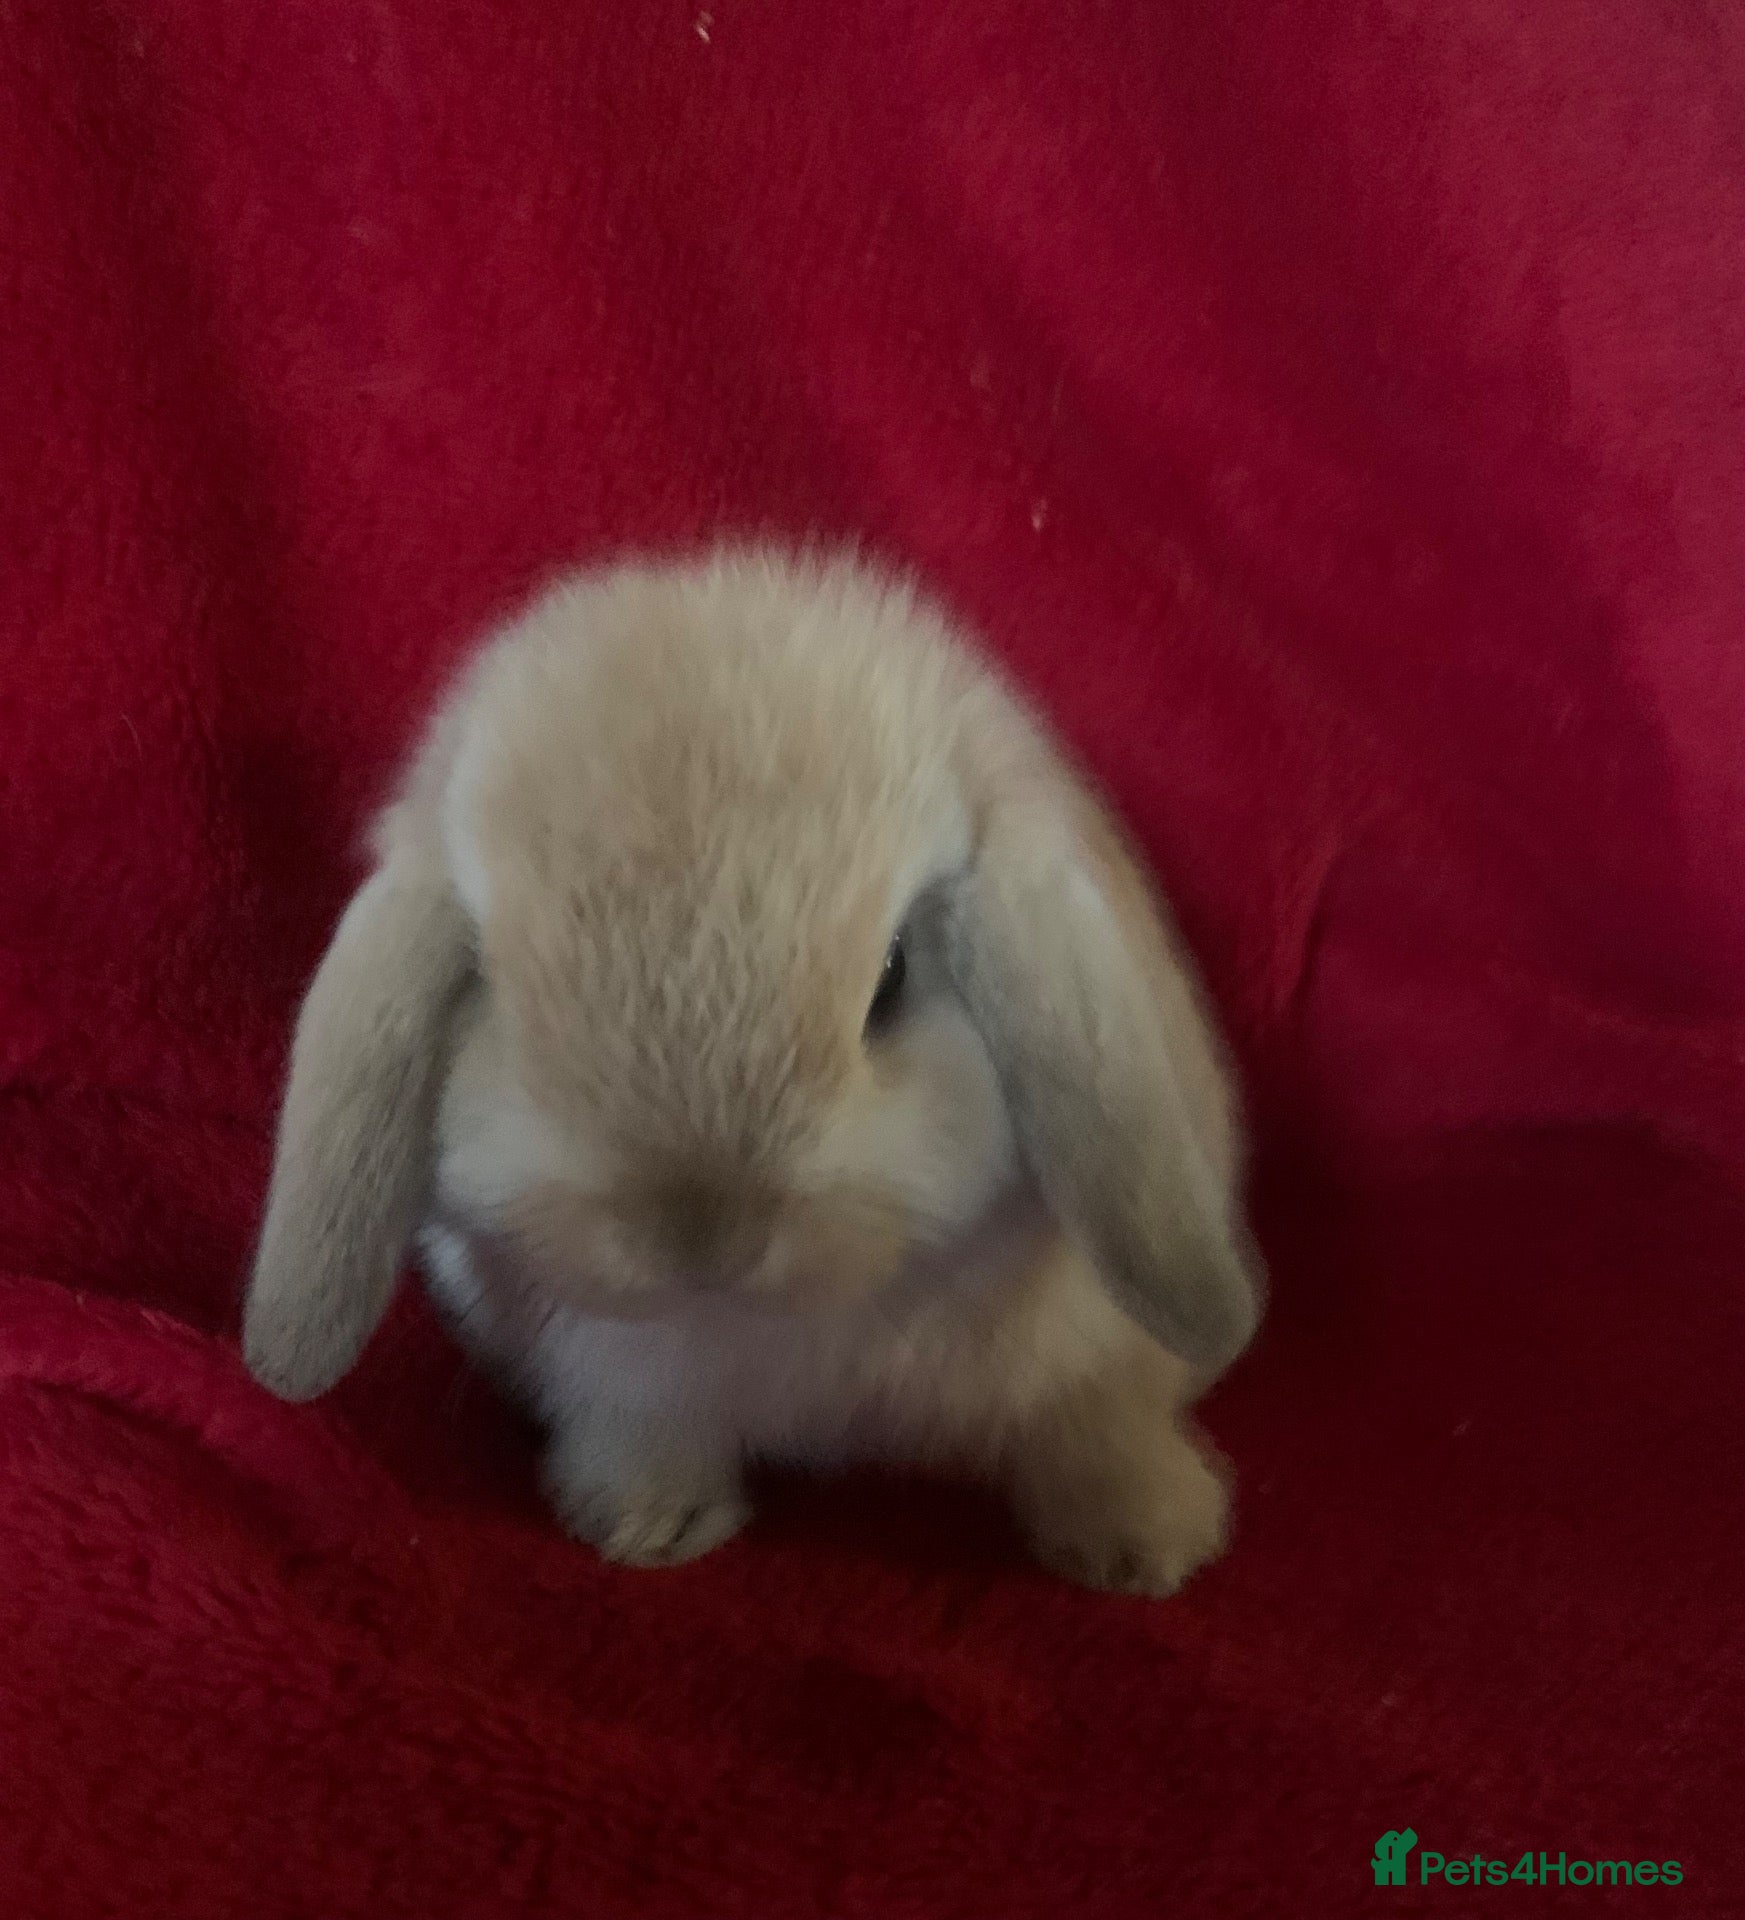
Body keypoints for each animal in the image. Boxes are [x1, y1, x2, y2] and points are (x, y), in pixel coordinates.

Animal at [243, 548, 1264, 1594]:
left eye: (891, 977)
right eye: (490, 981)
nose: (699, 1237)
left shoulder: (1099, 1356)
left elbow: (1095, 1429)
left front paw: (1145, 1546)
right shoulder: (626, 1384)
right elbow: (649, 1435)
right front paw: (646, 1526)